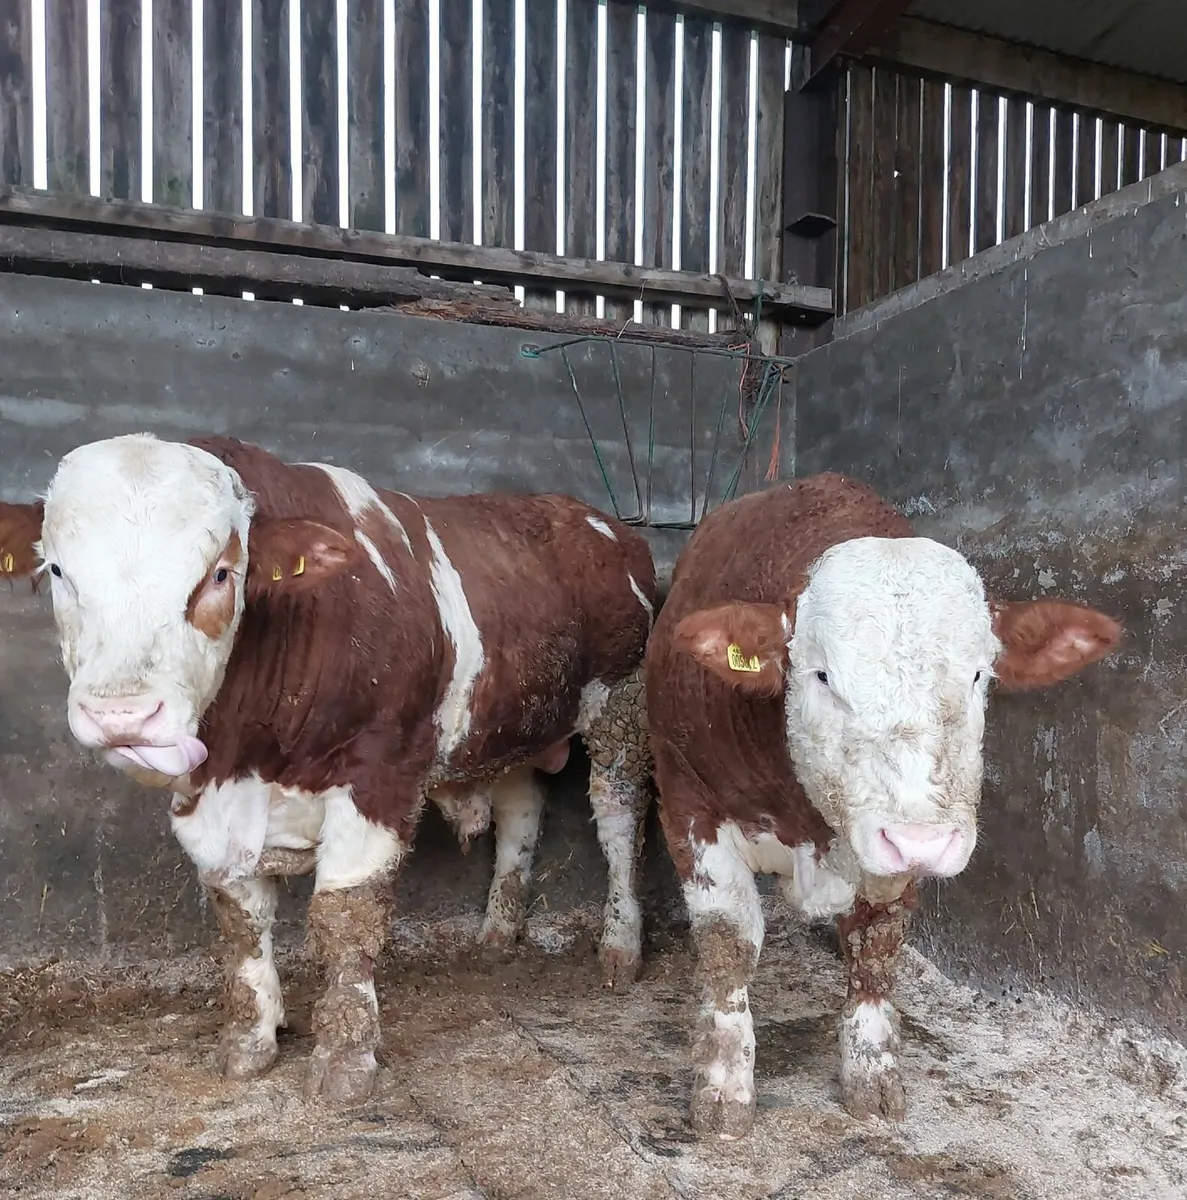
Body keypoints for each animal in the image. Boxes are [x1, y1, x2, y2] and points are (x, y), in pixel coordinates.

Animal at [0, 432, 658, 1102]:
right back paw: (499, 933)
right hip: (510, 725)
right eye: (58, 571)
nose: (122, 714)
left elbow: (347, 914)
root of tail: (597, 518)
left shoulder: (378, 776)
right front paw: (251, 1042)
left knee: (618, 817)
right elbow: (239, 920)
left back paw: (620, 946)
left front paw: (344, 1059)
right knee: (522, 810)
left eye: (220, 572)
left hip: (623, 706)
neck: (250, 755)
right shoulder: (205, 798)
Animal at [644, 473, 1123, 1139]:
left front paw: (871, 1074)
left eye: (979, 675)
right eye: (821, 675)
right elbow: (728, 944)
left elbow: (875, 946)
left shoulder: (891, 848)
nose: (925, 841)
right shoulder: (690, 802)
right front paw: (723, 1088)